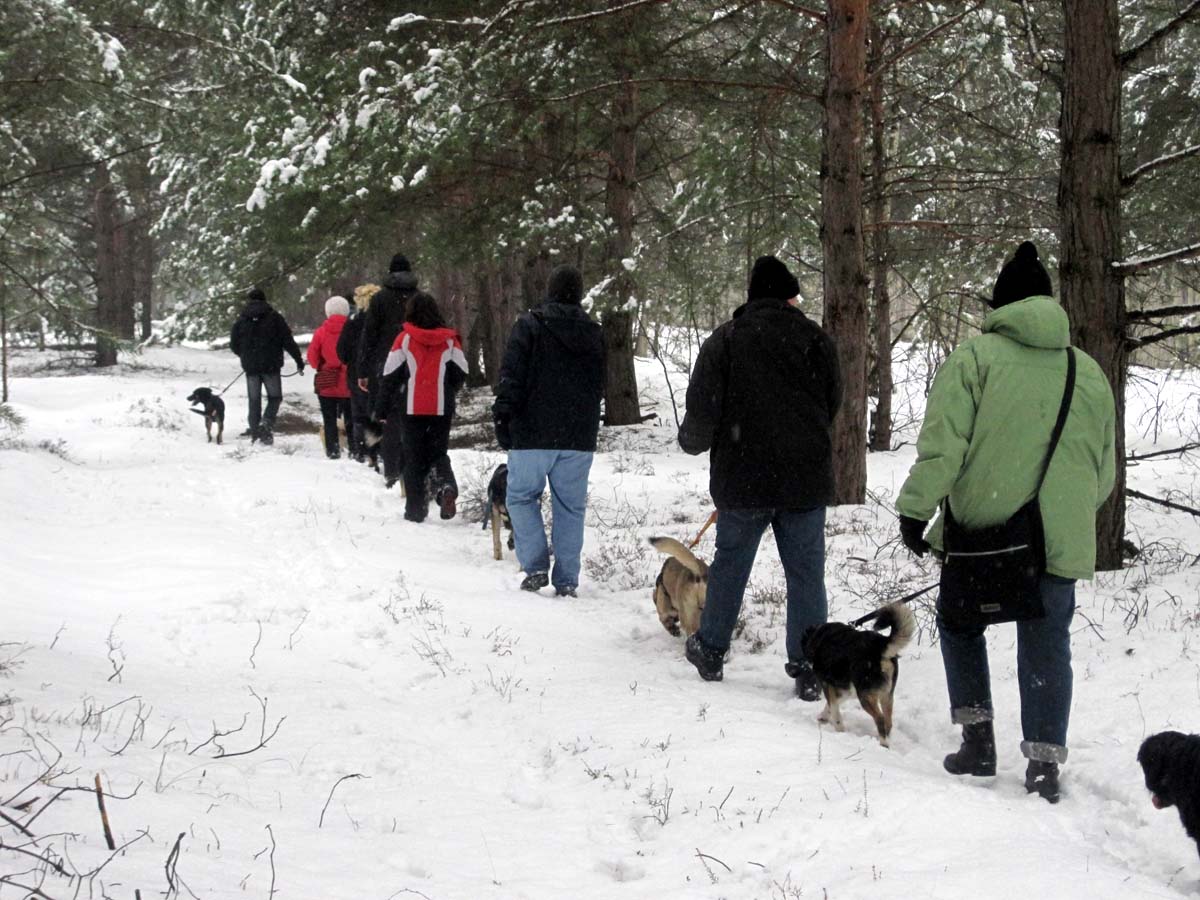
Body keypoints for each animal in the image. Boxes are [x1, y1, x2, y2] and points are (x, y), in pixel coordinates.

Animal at [801, 607, 912, 748]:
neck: (818, 635)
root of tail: (880, 646)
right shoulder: (846, 690)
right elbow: (832, 705)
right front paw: (823, 716)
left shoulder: (827, 684)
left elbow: (834, 709)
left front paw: (839, 729)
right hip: (886, 695)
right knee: (888, 721)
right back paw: (886, 740)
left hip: (865, 695)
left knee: (880, 719)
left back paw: (883, 743)